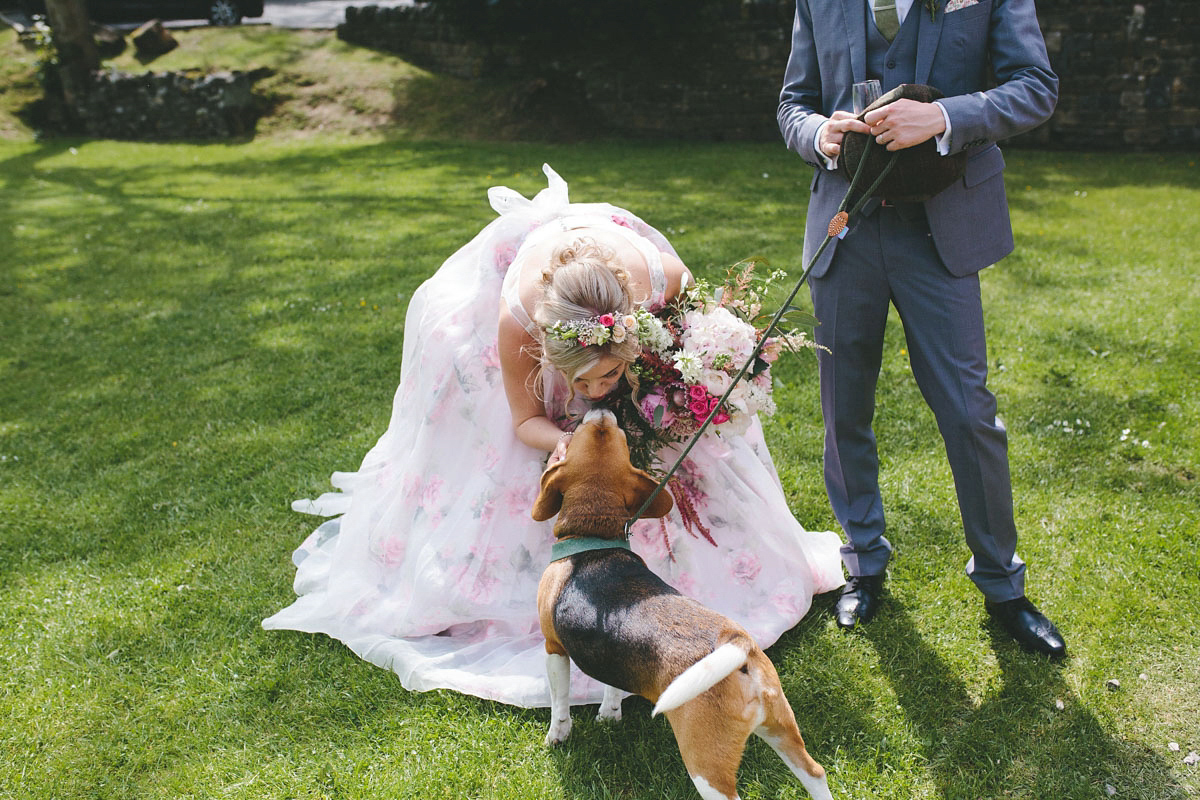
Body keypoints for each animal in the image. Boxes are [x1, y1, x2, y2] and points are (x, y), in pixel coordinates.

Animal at [535, 410, 835, 796]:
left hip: (705, 765)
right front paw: (609, 713)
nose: (602, 412)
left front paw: (557, 735)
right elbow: (613, 685)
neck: (595, 535)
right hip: (781, 728)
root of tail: (737, 644)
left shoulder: (553, 646)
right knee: (816, 773)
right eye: (617, 437)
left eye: (587, 433)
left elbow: (559, 701)